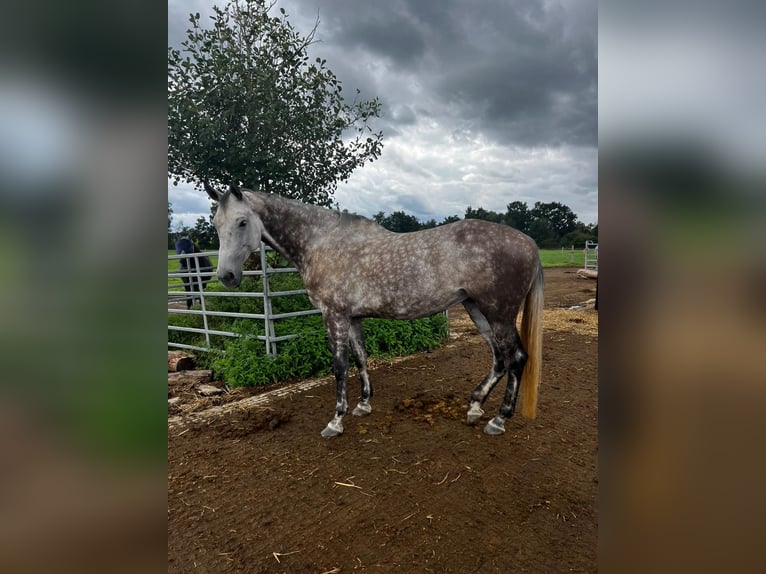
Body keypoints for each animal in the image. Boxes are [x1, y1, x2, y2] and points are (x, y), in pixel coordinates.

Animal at [204, 184, 544, 440]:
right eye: (216, 225)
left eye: (242, 222)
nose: (227, 276)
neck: (322, 243)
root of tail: (529, 242)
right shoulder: (352, 318)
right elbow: (361, 358)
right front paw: (364, 404)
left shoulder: (334, 316)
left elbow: (340, 366)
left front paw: (335, 421)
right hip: (477, 309)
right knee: (498, 358)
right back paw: (475, 406)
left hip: (498, 314)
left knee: (515, 358)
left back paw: (498, 420)